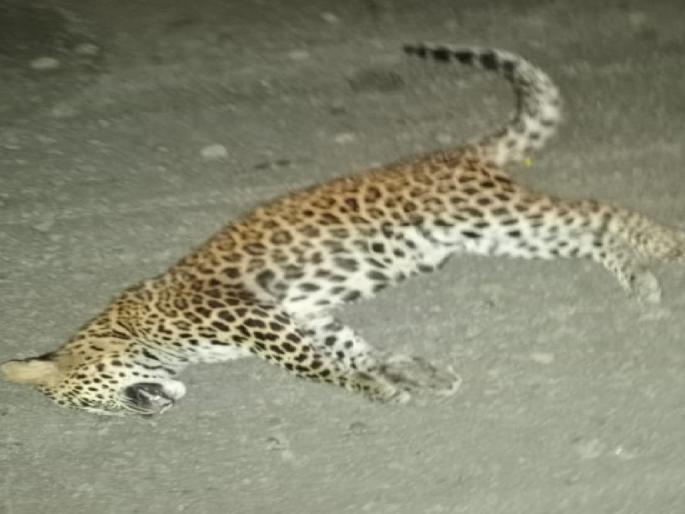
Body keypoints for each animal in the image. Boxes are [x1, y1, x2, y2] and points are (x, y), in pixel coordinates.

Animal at [2, 43, 684, 416]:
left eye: (91, 402)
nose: (145, 420)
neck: (137, 331)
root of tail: (454, 152)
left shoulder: (256, 319)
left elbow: (312, 367)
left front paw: (370, 388)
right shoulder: (301, 313)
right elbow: (350, 345)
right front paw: (404, 372)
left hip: (490, 214)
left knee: (598, 211)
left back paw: (667, 244)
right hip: (498, 233)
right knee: (590, 234)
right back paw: (641, 279)